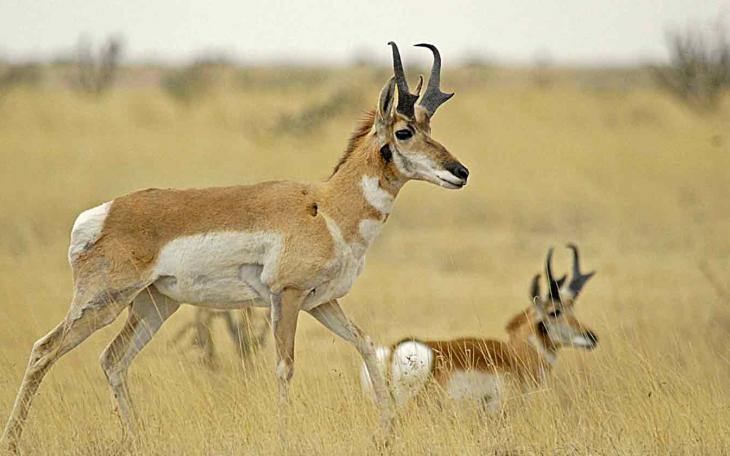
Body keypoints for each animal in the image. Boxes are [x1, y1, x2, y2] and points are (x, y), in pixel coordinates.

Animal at [0, 42, 470, 452]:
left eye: (430, 128)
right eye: (404, 131)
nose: (460, 171)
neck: (327, 206)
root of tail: (102, 213)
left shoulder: (321, 302)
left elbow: (366, 343)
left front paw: (387, 434)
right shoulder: (287, 297)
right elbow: (284, 367)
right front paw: (283, 440)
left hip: (153, 306)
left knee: (113, 359)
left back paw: (136, 439)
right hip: (104, 302)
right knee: (44, 350)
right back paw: (14, 440)